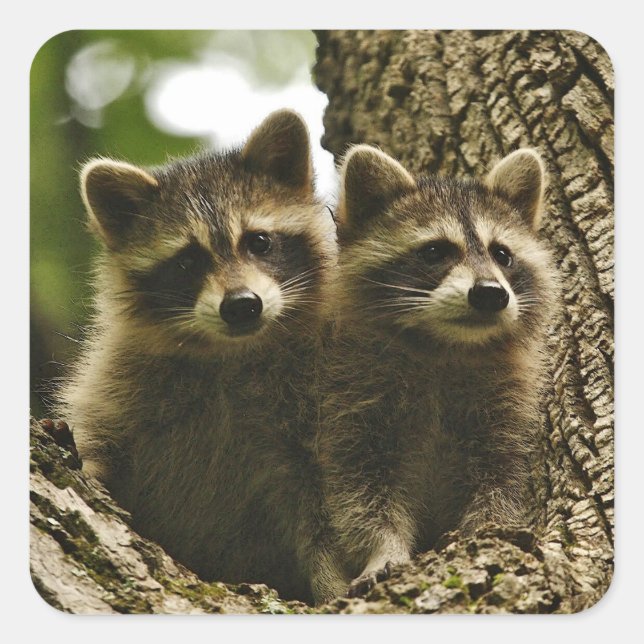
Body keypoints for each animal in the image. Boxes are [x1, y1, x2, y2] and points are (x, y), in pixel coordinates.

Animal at [55, 110, 341, 603]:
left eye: (259, 242)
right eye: (187, 262)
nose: (242, 305)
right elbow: (102, 439)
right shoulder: (120, 382)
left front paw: (336, 578)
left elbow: (321, 507)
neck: (233, 353)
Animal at [314, 145, 559, 599]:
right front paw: (383, 549)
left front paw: (486, 529)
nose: (491, 294)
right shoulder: (351, 396)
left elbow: (503, 480)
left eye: (502, 254)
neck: (447, 347)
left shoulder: (506, 407)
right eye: (434, 252)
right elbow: (360, 493)